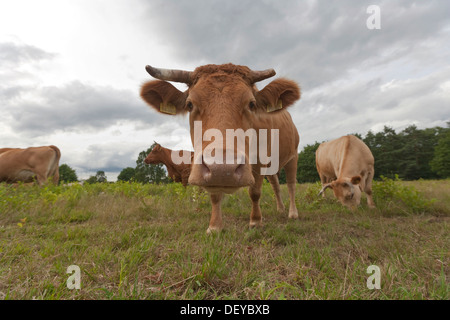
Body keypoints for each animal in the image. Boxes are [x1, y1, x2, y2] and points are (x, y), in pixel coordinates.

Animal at [140, 63, 302, 232]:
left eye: (252, 104)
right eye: (190, 105)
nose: (223, 168)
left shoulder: (260, 159)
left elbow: (255, 192)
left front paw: (256, 221)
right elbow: (215, 195)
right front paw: (214, 226)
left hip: (293, 156)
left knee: (291, 184)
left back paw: (292, 213)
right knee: (276, 185)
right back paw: (280, 208)